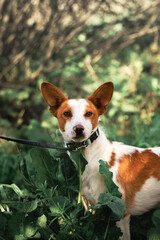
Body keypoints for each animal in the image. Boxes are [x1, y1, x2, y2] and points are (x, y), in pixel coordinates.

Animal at [41, 81, 160, 240]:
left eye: (88, 113)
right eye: (66, 114)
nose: (79, 129)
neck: (92, 158)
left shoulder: (120, 213)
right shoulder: (92, 207)